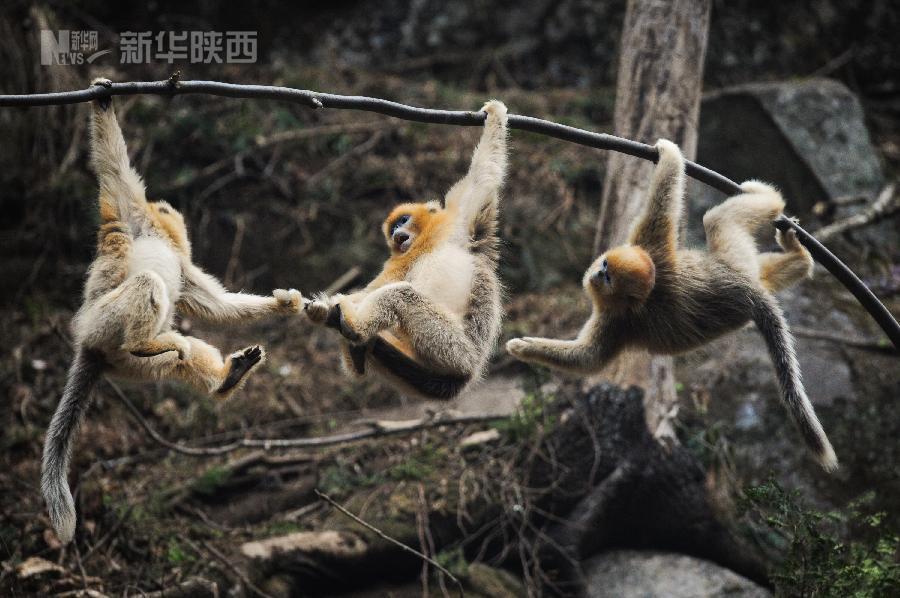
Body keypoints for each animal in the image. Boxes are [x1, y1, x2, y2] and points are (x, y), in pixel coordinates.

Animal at [42, 79, 304, 548]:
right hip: (100, 323)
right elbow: (113, 167)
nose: (171, 213)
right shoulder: (128, 212)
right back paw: (147, 341)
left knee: (181, 355)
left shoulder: (182, 264)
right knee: (149, 287)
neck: (158, 235)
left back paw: (225, 378)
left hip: (125, 366)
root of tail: (91, 349)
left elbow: (218, 309)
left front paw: (284, 304)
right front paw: (103, 99)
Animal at [306, 99, 510, 398]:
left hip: (452, 348)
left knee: (401, 295)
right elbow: (370, 289)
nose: (397, 233)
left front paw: (495, 114)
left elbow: (483, 176)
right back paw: (353, 344)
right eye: (392, 229)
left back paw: (354, 330)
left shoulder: (458, 221)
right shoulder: (399, 260)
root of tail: (465, 375)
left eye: (403, 221)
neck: (425, 242)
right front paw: (325, 305)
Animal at [506, 139, 836, 474]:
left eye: (608, 277)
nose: (596, 273)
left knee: (715, 219)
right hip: (741, 265)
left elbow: (590, 359)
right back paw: (799, 255)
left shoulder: (618, 316)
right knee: (734, 239)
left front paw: (524, 347)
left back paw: (771, 201)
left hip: (732, 261)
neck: (647, 293)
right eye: (605, 265)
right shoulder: (648, 253)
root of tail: (750, 292)